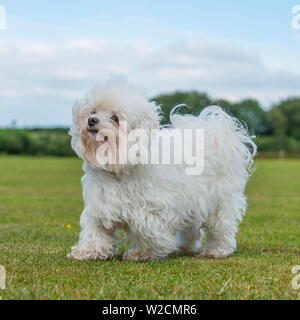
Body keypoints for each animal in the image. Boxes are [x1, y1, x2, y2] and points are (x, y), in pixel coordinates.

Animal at [67, 79, 255, 260]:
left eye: (115, 118)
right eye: (93, 112)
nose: (91, 120)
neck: (119, 167)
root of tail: (215, 132)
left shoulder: (149, 211)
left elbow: (147, 234)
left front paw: (141, 254)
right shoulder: (100, 205)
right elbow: (96, 233)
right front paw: (86, 252)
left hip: (218, 202)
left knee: (220, 227)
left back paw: (216, 250)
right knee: (191, 228)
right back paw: (184, 248)